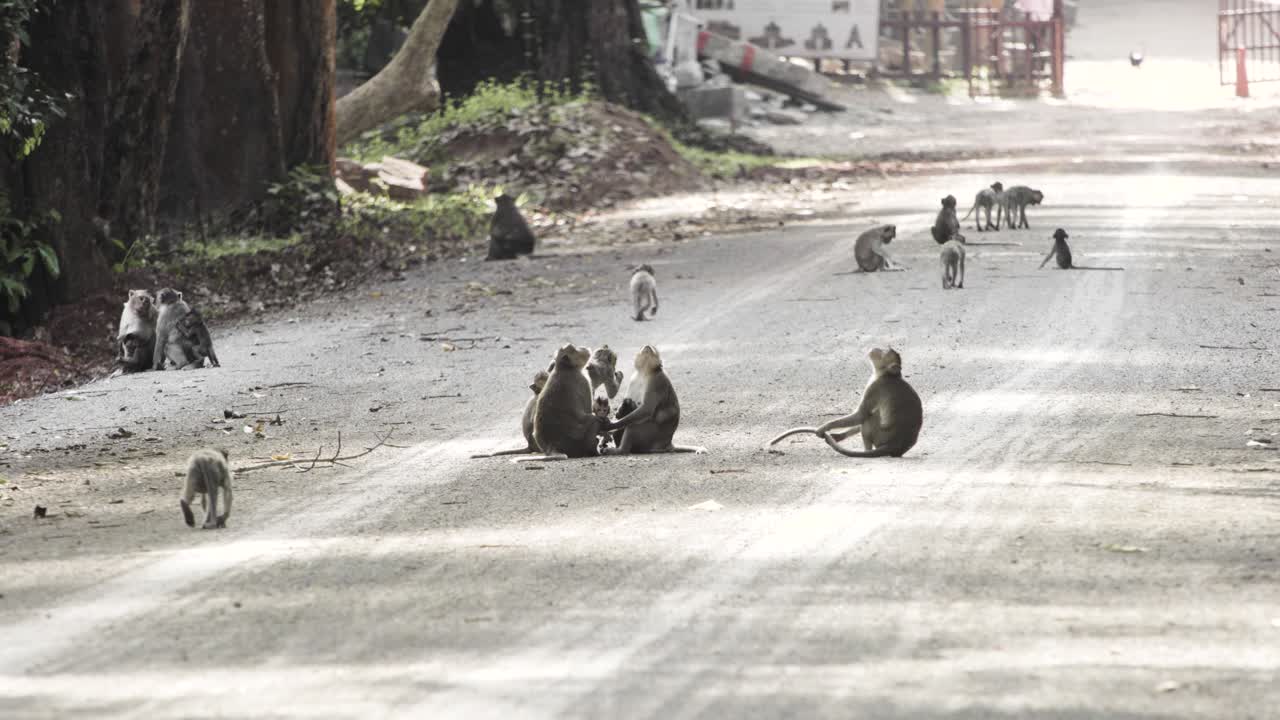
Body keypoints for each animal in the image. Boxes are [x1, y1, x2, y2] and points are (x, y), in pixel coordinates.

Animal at [768, 347, 923, 458]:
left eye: (884, 352)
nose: (877, 348)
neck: (887, 375)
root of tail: (896, 445)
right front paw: (838, 436)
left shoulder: (875, 387)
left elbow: (861, 415)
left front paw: (824, 427)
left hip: (881, 436)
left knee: (869, 418)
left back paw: (866, 451)